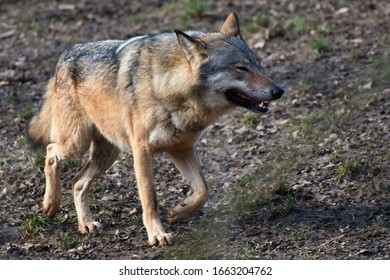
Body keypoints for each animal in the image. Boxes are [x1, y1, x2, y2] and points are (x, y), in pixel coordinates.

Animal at [27, 13, 284, 245]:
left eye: (258, 66)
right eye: (241, 68)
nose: (279, 91)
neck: (170, 89)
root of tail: (65, 55)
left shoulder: (182, 149)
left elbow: (203, 190)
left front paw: (178, 211)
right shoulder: (142, 151)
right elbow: (150, 199)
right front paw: (157, 235)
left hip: (108, 154)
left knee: (77, 181)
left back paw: (85, 224)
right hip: (75, 144)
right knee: (50, 152)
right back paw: (50, 204)